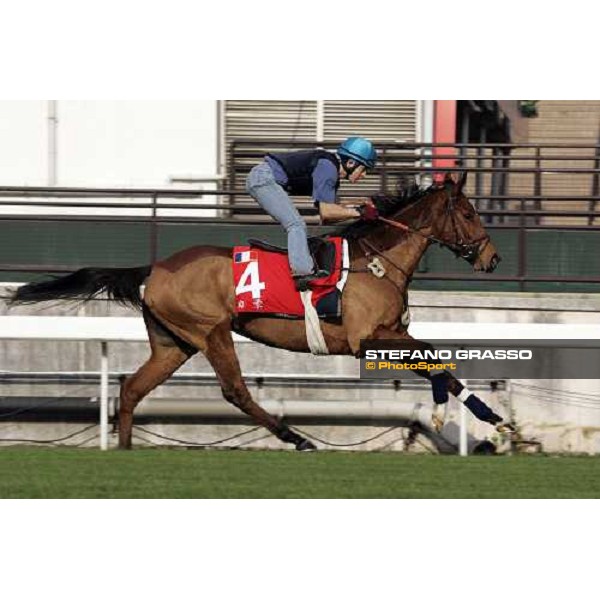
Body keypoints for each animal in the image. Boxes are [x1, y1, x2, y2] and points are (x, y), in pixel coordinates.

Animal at [9, 172, 510, 450]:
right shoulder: (366, 337)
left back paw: (126, 450)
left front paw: (481, 416)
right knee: (236, 392)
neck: (377, 262)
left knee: (132, 388)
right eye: (468, 213)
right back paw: (298, 439)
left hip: (173, 344)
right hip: (211, 331)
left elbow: (435, 360)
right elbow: (434, 357)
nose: (493, 259)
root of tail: (156, 267)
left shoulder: (390, 332)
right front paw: (466, 416)